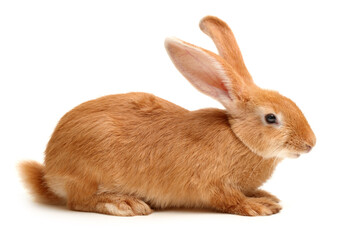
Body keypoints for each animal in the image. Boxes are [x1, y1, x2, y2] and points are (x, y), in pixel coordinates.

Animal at [19, 15, 316, 217]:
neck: (238, 138)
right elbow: (229, 199)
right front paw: (259, 206)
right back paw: (123, 203)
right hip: (89, 171)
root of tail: (50, 173)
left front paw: (267, 196)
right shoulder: (212, 183)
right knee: (79, 200)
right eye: (271, 118)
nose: (310, 144)